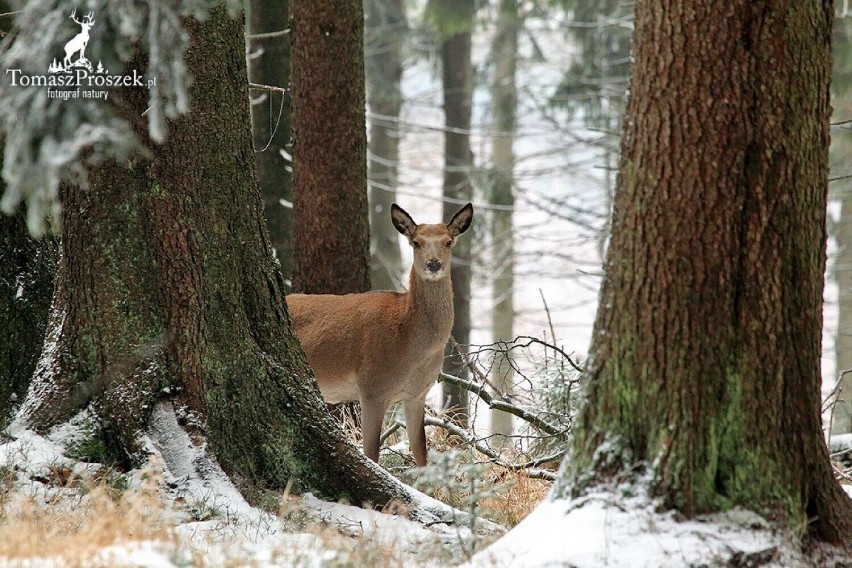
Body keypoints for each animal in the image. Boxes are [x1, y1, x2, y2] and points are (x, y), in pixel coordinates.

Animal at [284, 204, 472, 466]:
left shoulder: (417, 394)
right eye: (416, 242)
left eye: (448, 241)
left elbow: (420, 452)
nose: (433, 264)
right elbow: (371, 454)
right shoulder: (372, 387)